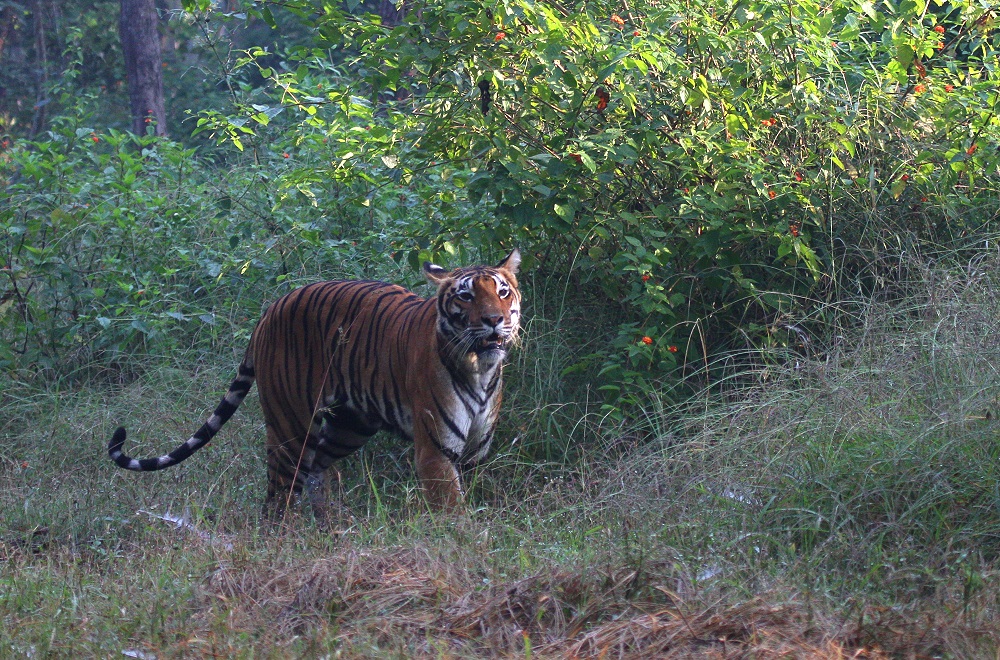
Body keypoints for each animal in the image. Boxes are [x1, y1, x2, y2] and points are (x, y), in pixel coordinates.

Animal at [107, 250, 524, 512]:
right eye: (466, 297)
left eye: (503, 292)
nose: (494, 320)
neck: (481, 369)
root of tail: (270, 309)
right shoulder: (436, 451)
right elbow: (451, 510)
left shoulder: (473, 452)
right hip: (290, 423)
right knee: (279, 492)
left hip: (350, 424)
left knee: (316, 470)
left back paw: (331, 524)